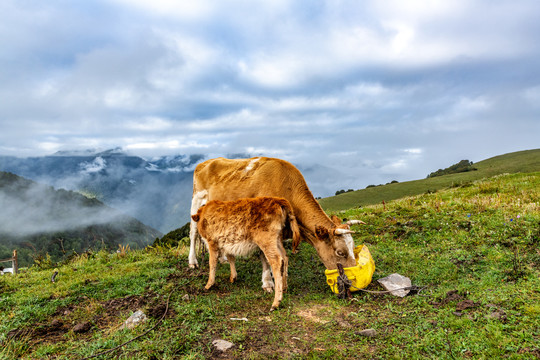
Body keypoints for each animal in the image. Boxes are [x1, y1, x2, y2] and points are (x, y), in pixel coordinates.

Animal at [190, 157, 362, 290]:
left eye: (353, 248)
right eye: (340, 252)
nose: (353, 282)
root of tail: (208, 161)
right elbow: (264, 256)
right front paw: (267, 282)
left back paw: (223, 257)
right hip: (196, 203)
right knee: (193, 234)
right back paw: (192, 262)